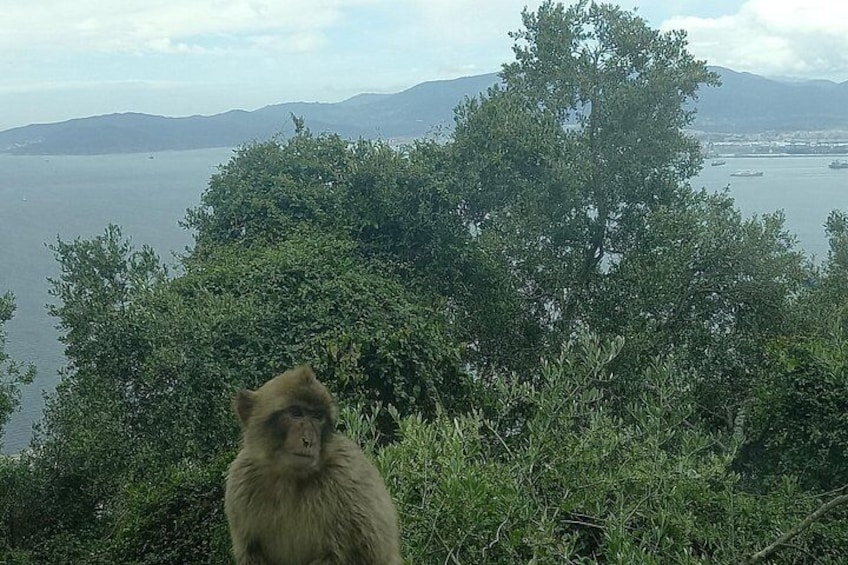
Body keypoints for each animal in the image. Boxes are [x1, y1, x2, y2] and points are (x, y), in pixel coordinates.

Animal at [224, 366, 402, 565]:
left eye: (317, 416)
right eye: (295, 412)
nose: (308, 440)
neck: (288, 478)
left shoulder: (348, 476)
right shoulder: (241, 480)